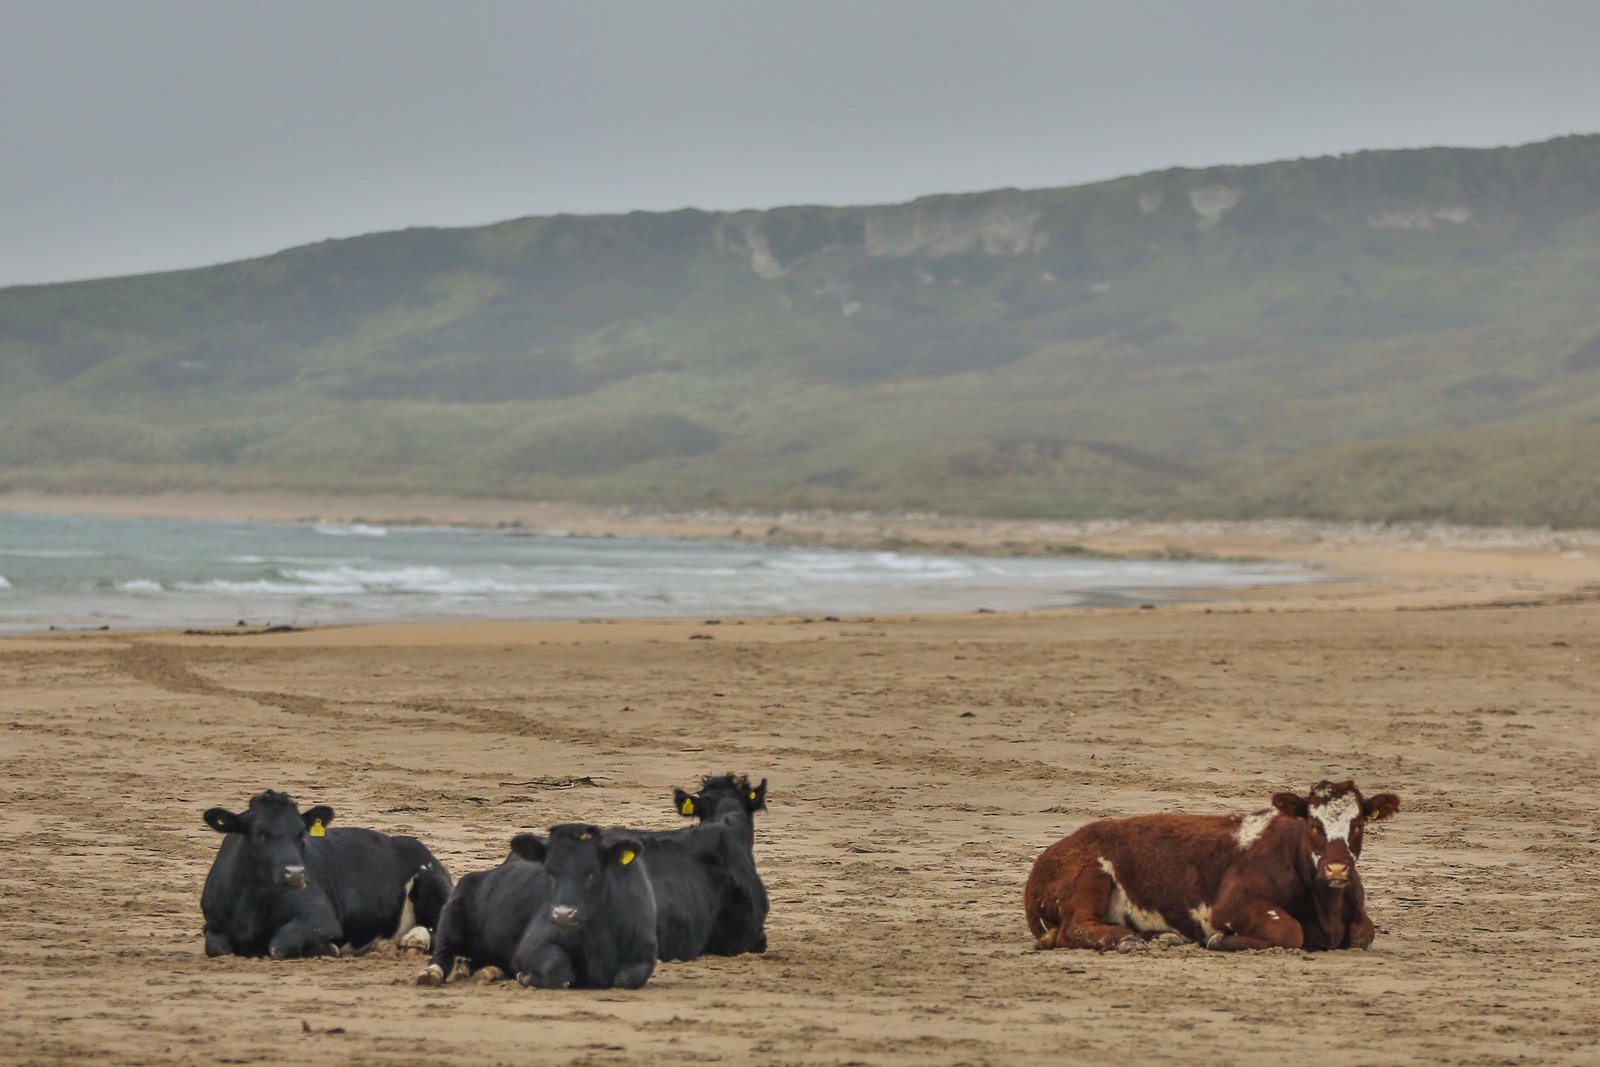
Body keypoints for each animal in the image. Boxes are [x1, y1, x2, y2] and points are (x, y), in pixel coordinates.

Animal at [201, 790, 453, 960]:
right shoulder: (212, 922)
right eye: (260, 833)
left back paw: (414, 940)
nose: (295, 873)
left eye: (301, 833)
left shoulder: (321, 918)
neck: (251, 911)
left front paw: (326, 948)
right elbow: (217, 947)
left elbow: (279, 945)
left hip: (431, 885)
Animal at [418, 824, 656, 989]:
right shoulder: (532, 946)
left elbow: (626, 978)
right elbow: (558, 969)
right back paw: (432, 974)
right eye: (549, 871)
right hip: (451, 916)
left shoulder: (645, 953)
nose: (563, 915)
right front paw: (524, 976)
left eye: (593, 871)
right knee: (442, 954)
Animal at [1024, 780, 1400, 952]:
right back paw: (1126, 939)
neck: (1327, 907)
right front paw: (1221, 939)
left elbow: (1364, 932)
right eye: (1313, 824)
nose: (1336, 870)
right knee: (1075, 928)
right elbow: (1289, 931)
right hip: (1090, 875)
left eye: (1358, 823)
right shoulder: (1232, 904)